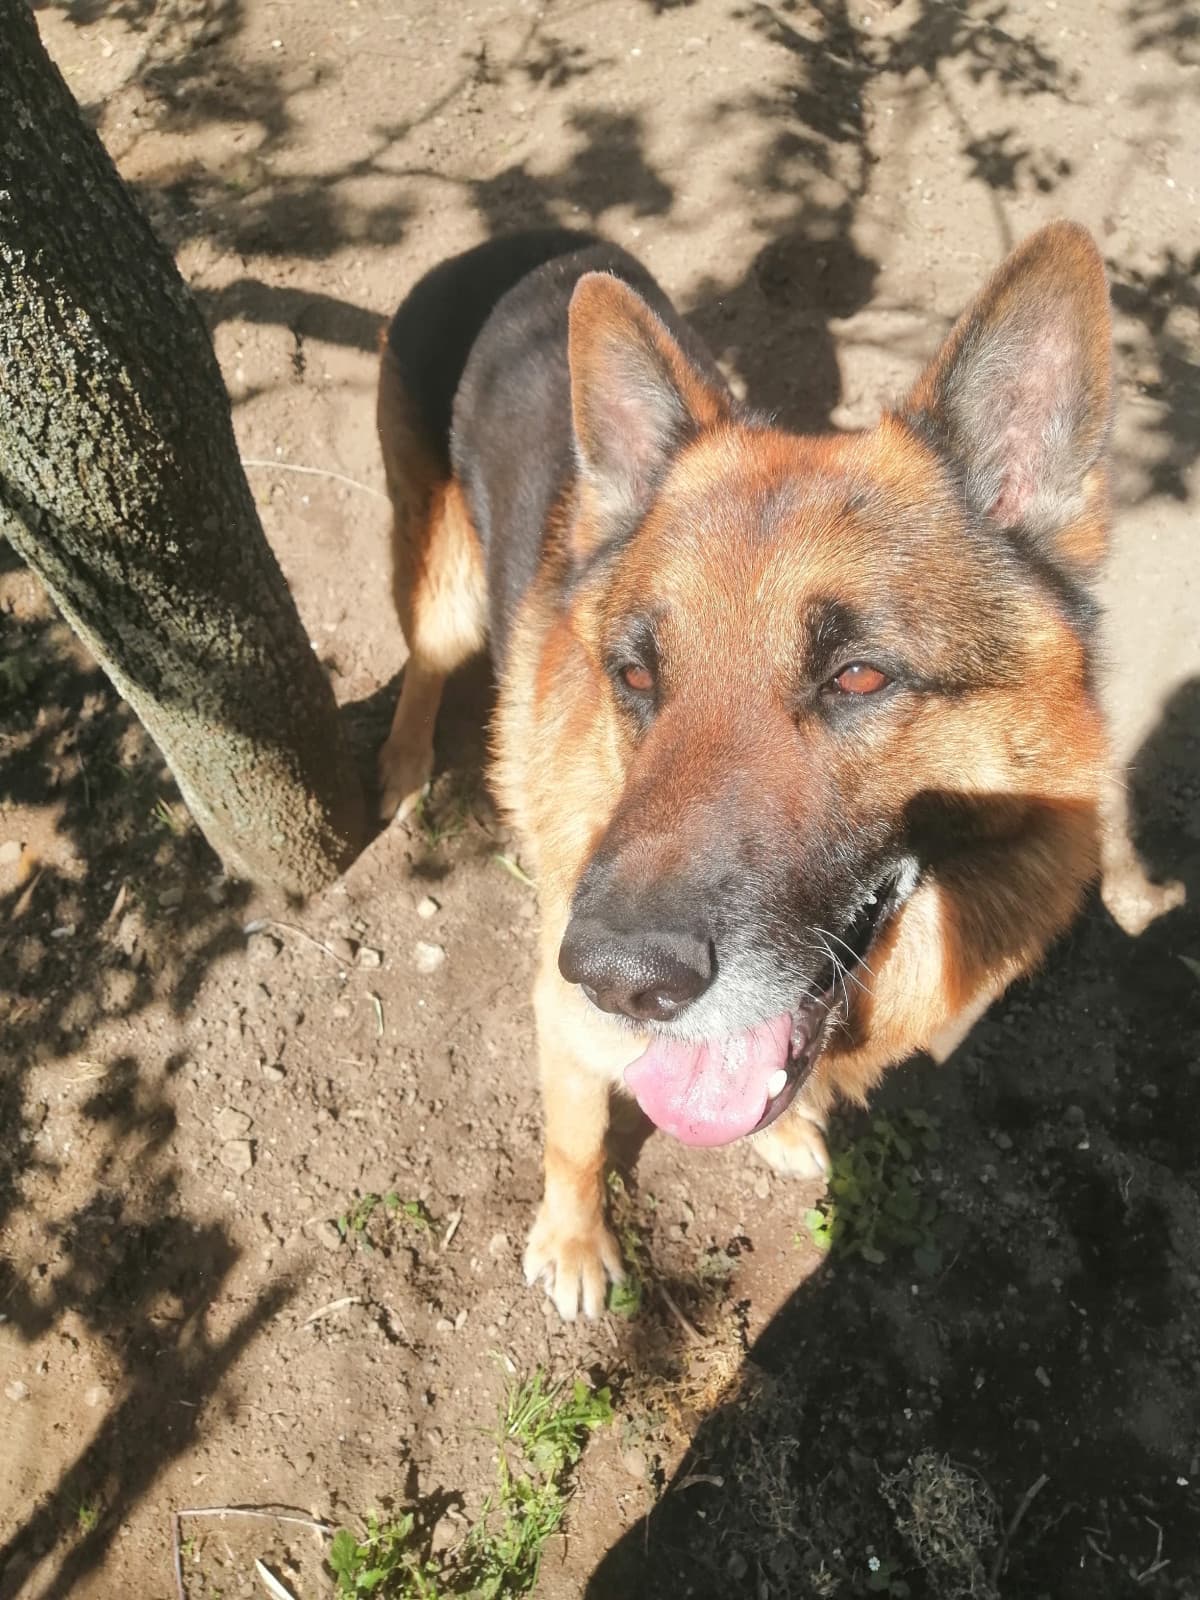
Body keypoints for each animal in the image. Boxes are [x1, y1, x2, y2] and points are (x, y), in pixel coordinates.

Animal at [377, 228, 1120, 1324]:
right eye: (637, 676)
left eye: (857, 676)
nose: (617, 978)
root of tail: (514, 240)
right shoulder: (562, 1012)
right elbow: (577, 1133)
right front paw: (573, 1239)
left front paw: (779, 1127)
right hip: (446, 591)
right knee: (424, 668)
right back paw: (401, 765)